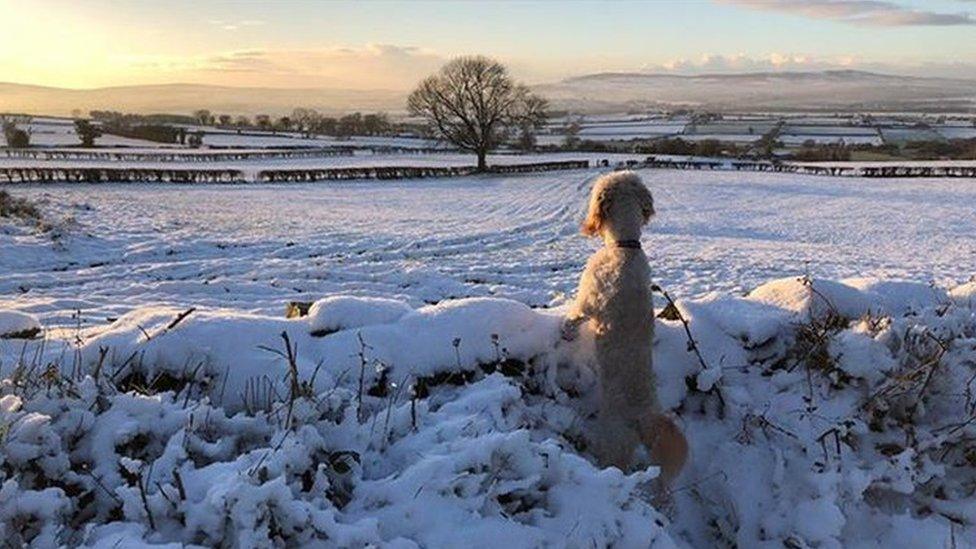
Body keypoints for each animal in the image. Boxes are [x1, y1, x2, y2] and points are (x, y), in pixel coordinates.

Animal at [560, 170, 692, 484]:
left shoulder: (589, 299)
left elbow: (575, 314)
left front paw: (566, 330)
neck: (625, 246)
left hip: (613, 440)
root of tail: (645, 415)